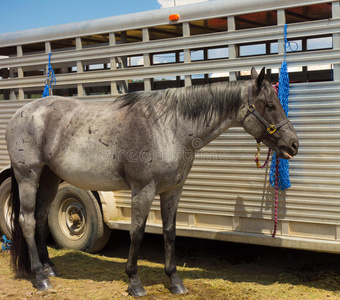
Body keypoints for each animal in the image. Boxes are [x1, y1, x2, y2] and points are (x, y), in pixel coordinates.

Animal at [5, 67, 298, 296]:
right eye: (270, 105)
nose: (293, 144)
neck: (168, 129)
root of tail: (20, 113)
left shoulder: (172, 190)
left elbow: (169, 232)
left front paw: (175, 280)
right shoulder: (143, 191)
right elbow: (137, 233)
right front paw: (134, 282)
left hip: (50, 178)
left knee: (40, 217)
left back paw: (49, 268)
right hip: (28, 175)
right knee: (27, 220)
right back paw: (39, 278)